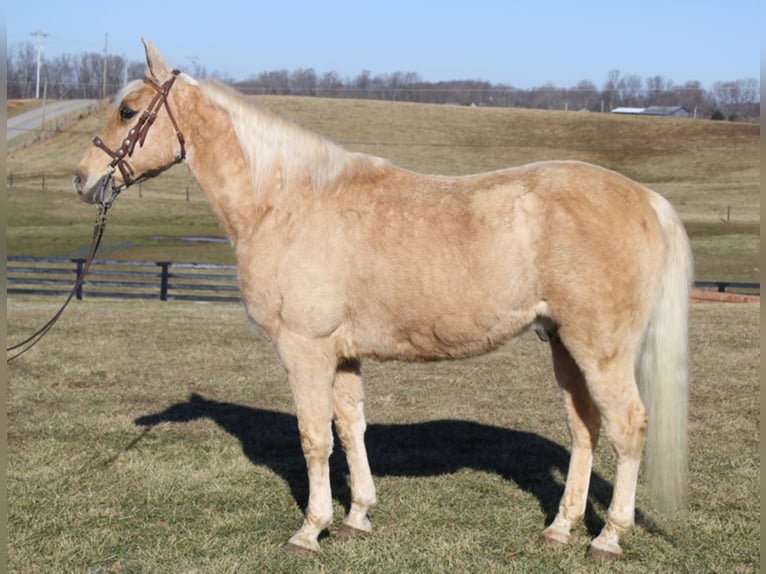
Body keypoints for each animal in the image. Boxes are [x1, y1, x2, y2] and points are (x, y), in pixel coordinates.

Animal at [75, 40, 692, 564]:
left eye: (128, 111)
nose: (82, 179)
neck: (289, 203)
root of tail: (645, 199)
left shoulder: (305, 351)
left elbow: (314, 438)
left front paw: (311, 529)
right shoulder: (343, 354)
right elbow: (351, 428)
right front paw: (357, 517)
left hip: (601, 349)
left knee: (628, 427)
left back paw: (608, 537)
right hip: (565, 345)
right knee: (585, 429)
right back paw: (560, 529)